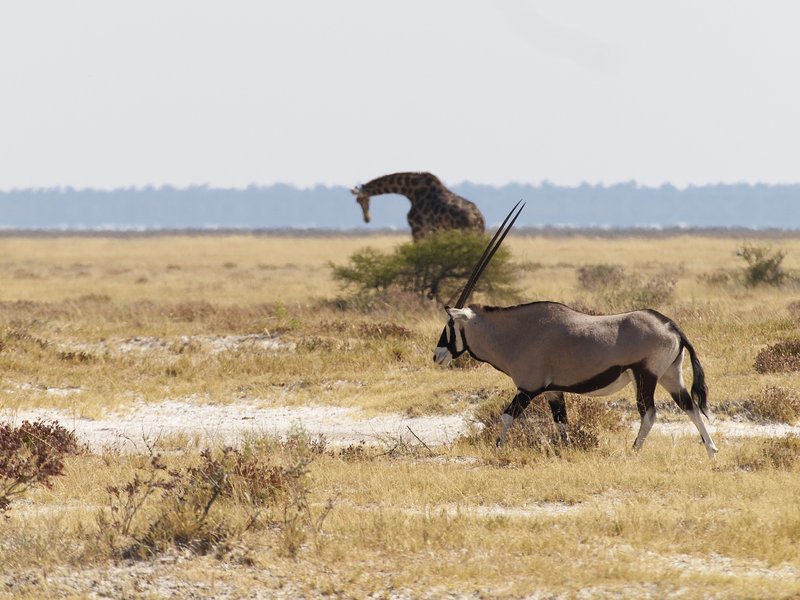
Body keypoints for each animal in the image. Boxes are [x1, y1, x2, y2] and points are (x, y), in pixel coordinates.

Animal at [351, 172, 485, 241]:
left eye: (359, 200)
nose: (367, 219)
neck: (409, 190)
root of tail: (479, 220)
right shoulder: (431, 230)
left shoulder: (417, 228)